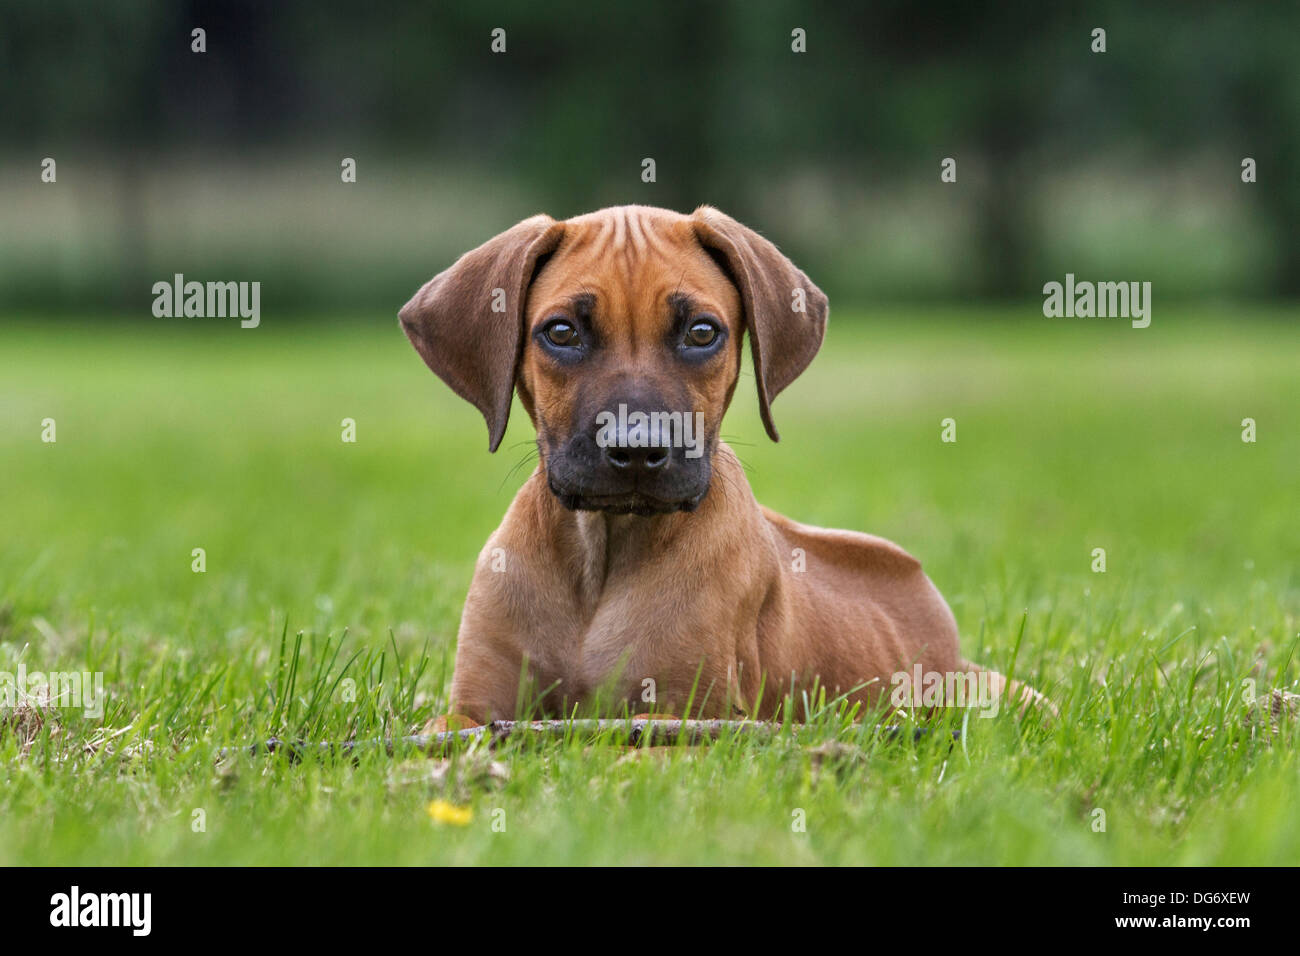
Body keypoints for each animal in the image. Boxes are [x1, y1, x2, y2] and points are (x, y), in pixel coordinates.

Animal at [397, 204, 1045, 723]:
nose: (637, 448)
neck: (604, 551)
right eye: (561, 332)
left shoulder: (693, 718)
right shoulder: (473, 712)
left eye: (702, 332)